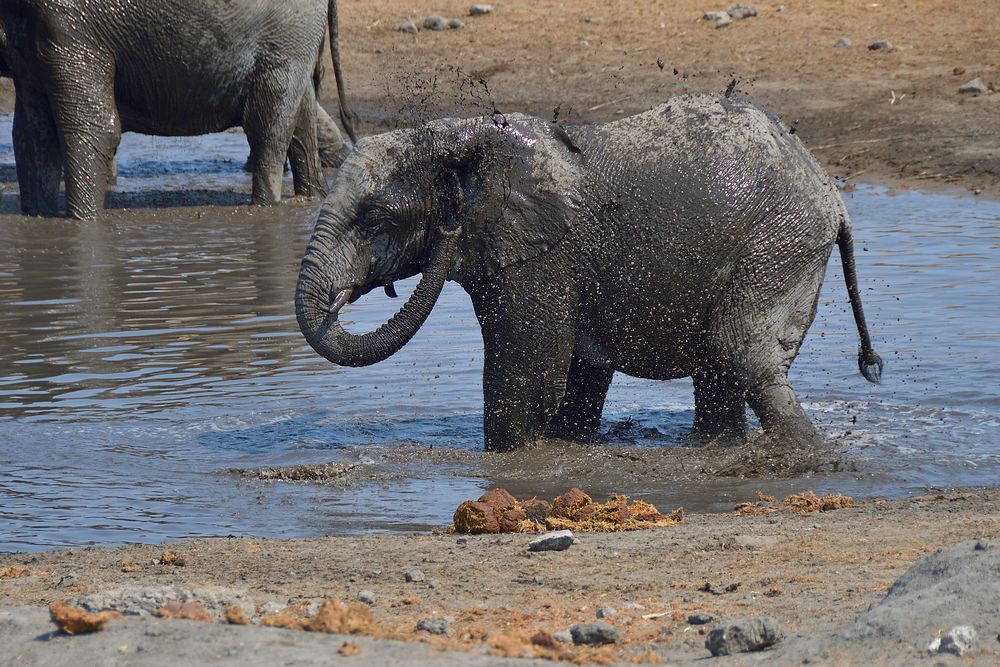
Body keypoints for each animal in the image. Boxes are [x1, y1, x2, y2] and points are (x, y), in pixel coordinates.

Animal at [0, 0, 356, 219]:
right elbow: (32, 135)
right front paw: (40, 218)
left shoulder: (70, 25)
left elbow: (93, 128)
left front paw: (83, 225)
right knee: (299, 120)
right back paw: (310, 199)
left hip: (286, 36)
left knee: (269, 128)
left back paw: (265, 209)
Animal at [292, 92, 880, 454]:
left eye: (375, 217)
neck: (465, 137)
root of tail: (831, 193)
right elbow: (579, 377)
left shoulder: (540, 258)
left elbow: (526, 379)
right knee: (724, 370)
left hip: (780, 241)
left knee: (742, 350)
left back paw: (811, 456)